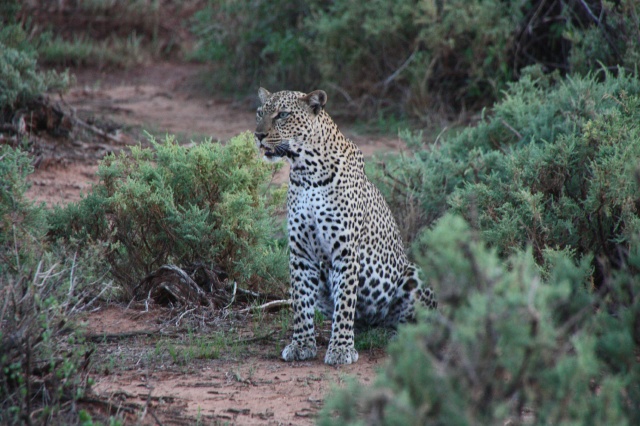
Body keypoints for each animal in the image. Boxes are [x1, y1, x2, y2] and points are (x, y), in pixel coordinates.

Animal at [254, 87, 437, 365]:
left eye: (282, 115)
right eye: (259, 113)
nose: (258, 135)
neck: (306, 171)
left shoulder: (346, 251)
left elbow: (345, 302)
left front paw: (340, 348)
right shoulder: (301, 253)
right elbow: (301, 302)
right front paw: (301, 344)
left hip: (414, 273)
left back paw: (399, 335)